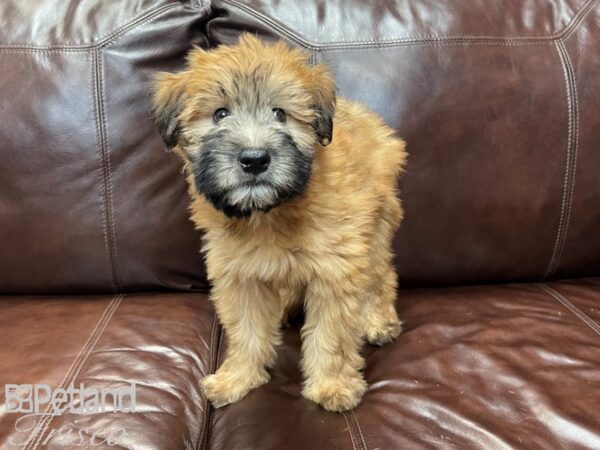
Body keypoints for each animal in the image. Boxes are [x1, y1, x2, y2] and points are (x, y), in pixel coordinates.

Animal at [152, 34, 410, 412]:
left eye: (280, 114)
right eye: (220, 113)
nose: (254, 159)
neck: (269, 212)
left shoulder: (336, 269)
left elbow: (331, 335)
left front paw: (332, 384)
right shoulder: (238, 274)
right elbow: (246, 331)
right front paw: (238, 377)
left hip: (375, 230)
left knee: (382, 277)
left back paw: (378, 320)